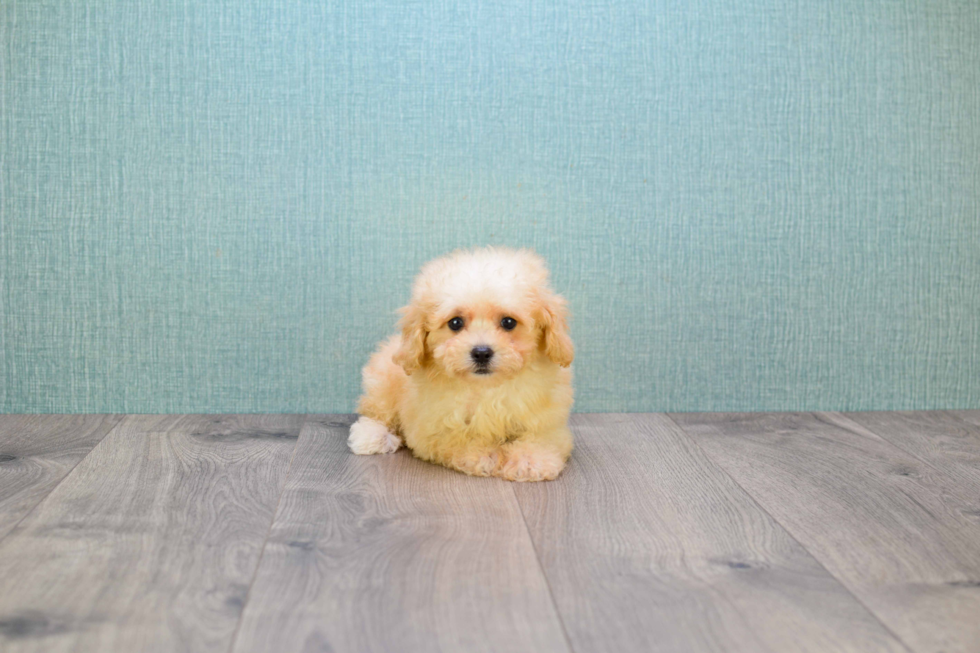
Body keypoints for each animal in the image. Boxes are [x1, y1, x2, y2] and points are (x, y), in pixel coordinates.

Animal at [348, 247, 576, 482]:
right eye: (455, 323)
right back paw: (372, 436)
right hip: (383, 383)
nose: (482, 353)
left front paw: (530, 460)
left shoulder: (547, 419)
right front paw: (484, 454)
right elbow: (458, 438)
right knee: (376, 412)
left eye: (508, 322)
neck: (485, 388)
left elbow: (542, 437)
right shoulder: (431, 428)